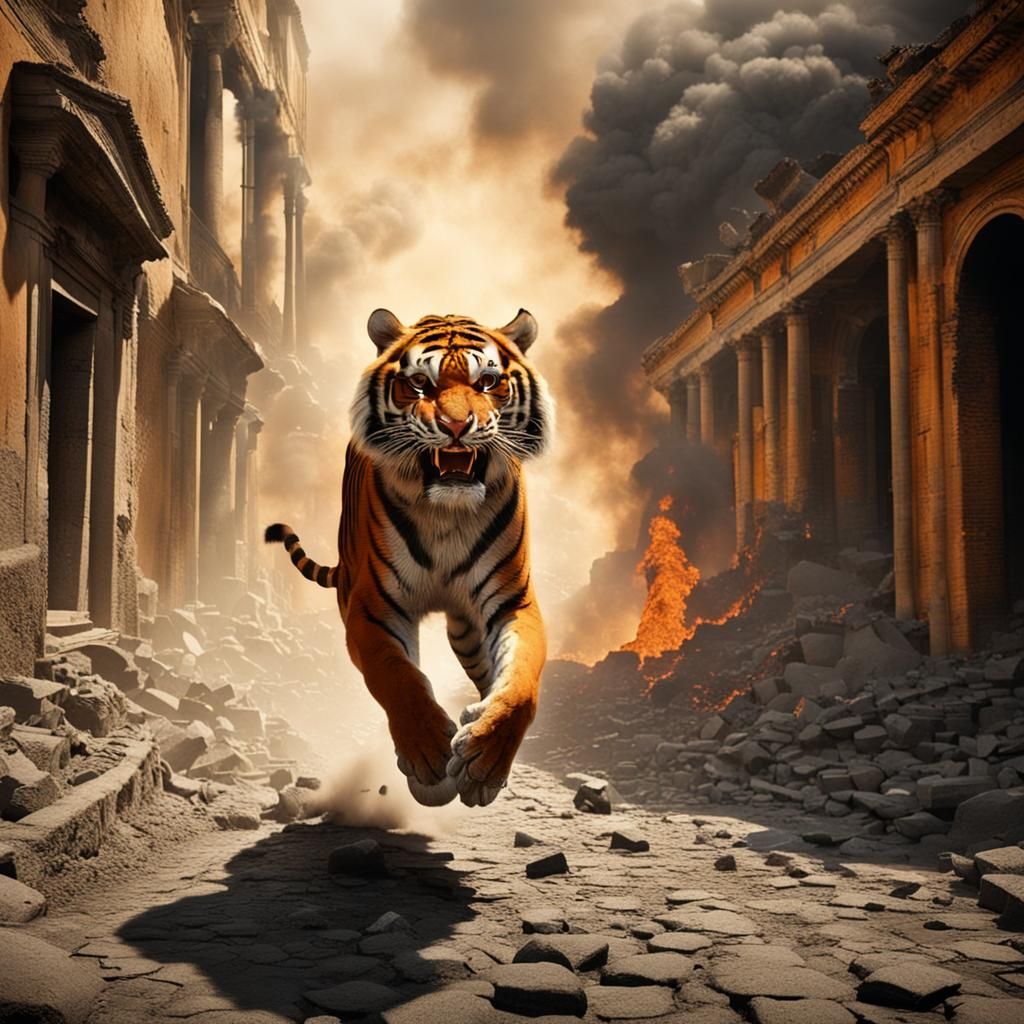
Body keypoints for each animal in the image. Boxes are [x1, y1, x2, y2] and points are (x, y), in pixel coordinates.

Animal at [265, 308, 552, 807]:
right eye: (420, 383)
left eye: (488, 381)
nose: (456, 427)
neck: (447, 513)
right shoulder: (372, 608)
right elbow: (397, 677)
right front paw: (427, 754)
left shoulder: (512, 602)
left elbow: (520, 686)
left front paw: (484, 758)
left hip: (469, 631)